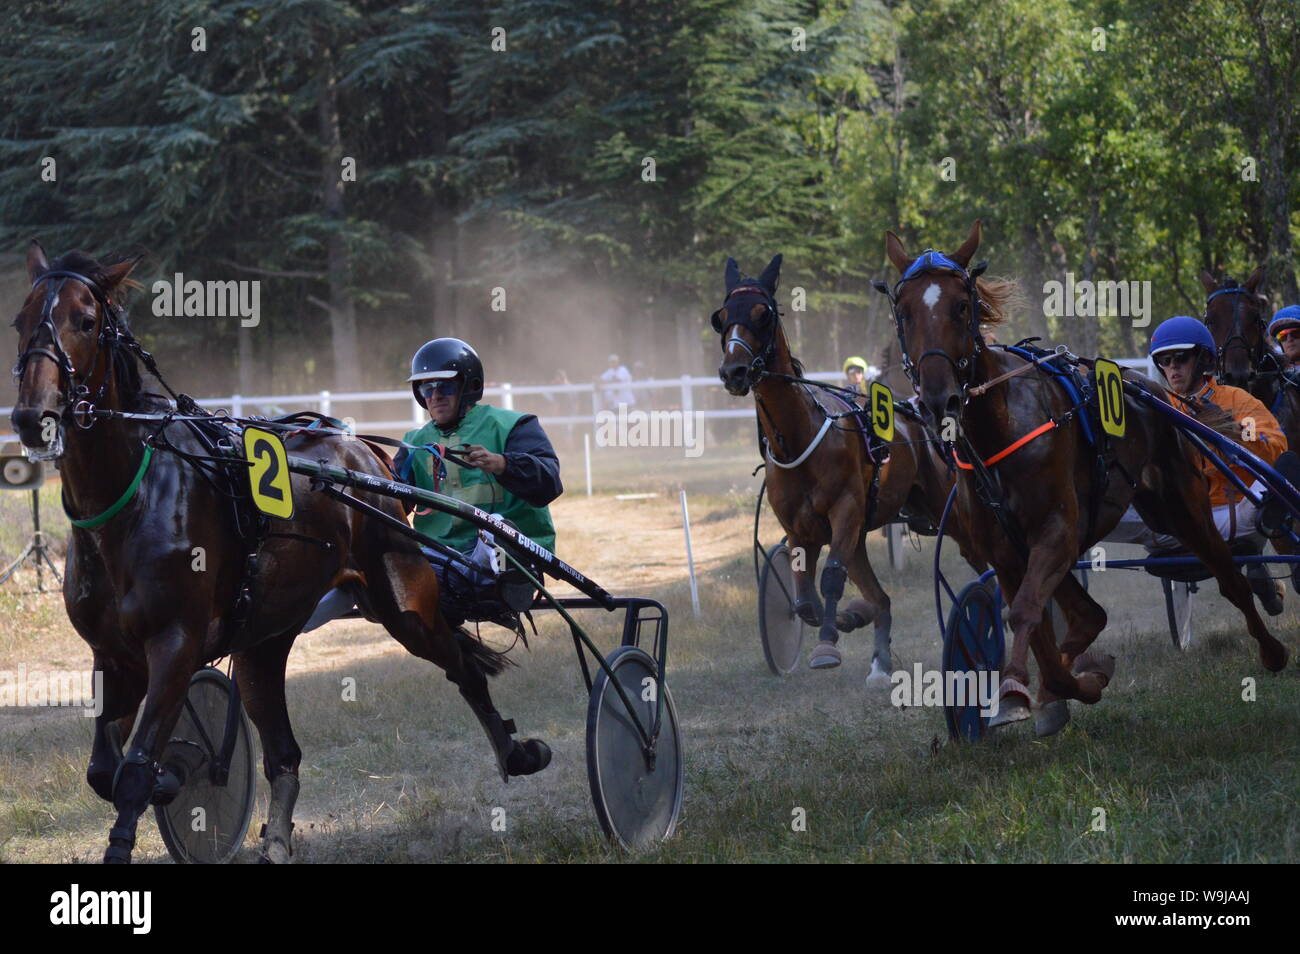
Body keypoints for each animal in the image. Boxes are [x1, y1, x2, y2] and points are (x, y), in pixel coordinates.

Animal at [10, 243, 551, 863]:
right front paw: (176, 777)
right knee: (284, 751)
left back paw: (518, 753)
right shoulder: (113, 655)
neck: (131, 498)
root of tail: (360, 449)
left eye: (85, 320)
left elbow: (133, 772)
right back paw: (275, 839)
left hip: (404, 602)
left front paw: (159, 784)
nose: (32, 417)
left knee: (462, 666)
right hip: (262, 641)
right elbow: (104, 770)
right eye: (20, 321)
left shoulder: (174, 643)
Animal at [712, 254, 978, 680]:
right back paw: (879, 658)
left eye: (762, 313)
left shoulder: (846, 511)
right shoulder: (800, 529)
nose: (733, 372)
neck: (799, 437)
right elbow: (804, 601)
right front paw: (850, 617)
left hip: (942, 507)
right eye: (720, 318)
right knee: (878, 594)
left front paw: (827, 642)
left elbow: (832, 579)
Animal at [880, 221, 1288, 736]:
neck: (1000, 429)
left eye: (962, 306)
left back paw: (1273, 650)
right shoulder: (1004, 549)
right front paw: (1052, 687)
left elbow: (1026, 612)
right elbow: (1036, 626)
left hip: (1183, 507)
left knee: (1230, 578)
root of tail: (1159, 392)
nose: (939, 400)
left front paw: (1022, 690)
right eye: (904, 311)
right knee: (1088, 615)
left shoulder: (1056, 529)